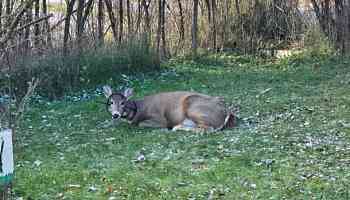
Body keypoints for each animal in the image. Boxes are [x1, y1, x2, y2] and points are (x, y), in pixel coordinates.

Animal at [102, 85, 237, 132]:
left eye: (123, 102)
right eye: (111, 102)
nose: (115, 114)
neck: (137, 110)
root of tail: (226, 111)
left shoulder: (160, 119)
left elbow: (140, 124)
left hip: (194, 107)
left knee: (208, 129)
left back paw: (177, 127)